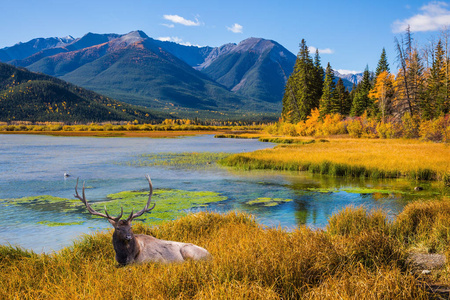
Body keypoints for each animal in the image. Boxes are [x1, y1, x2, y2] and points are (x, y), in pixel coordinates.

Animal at [74, 175, 212, 266]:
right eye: (118, 228)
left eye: (130, 227)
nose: (128, 237)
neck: (128, 257)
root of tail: (210, 254)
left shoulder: (156, 261)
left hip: (188, 251)